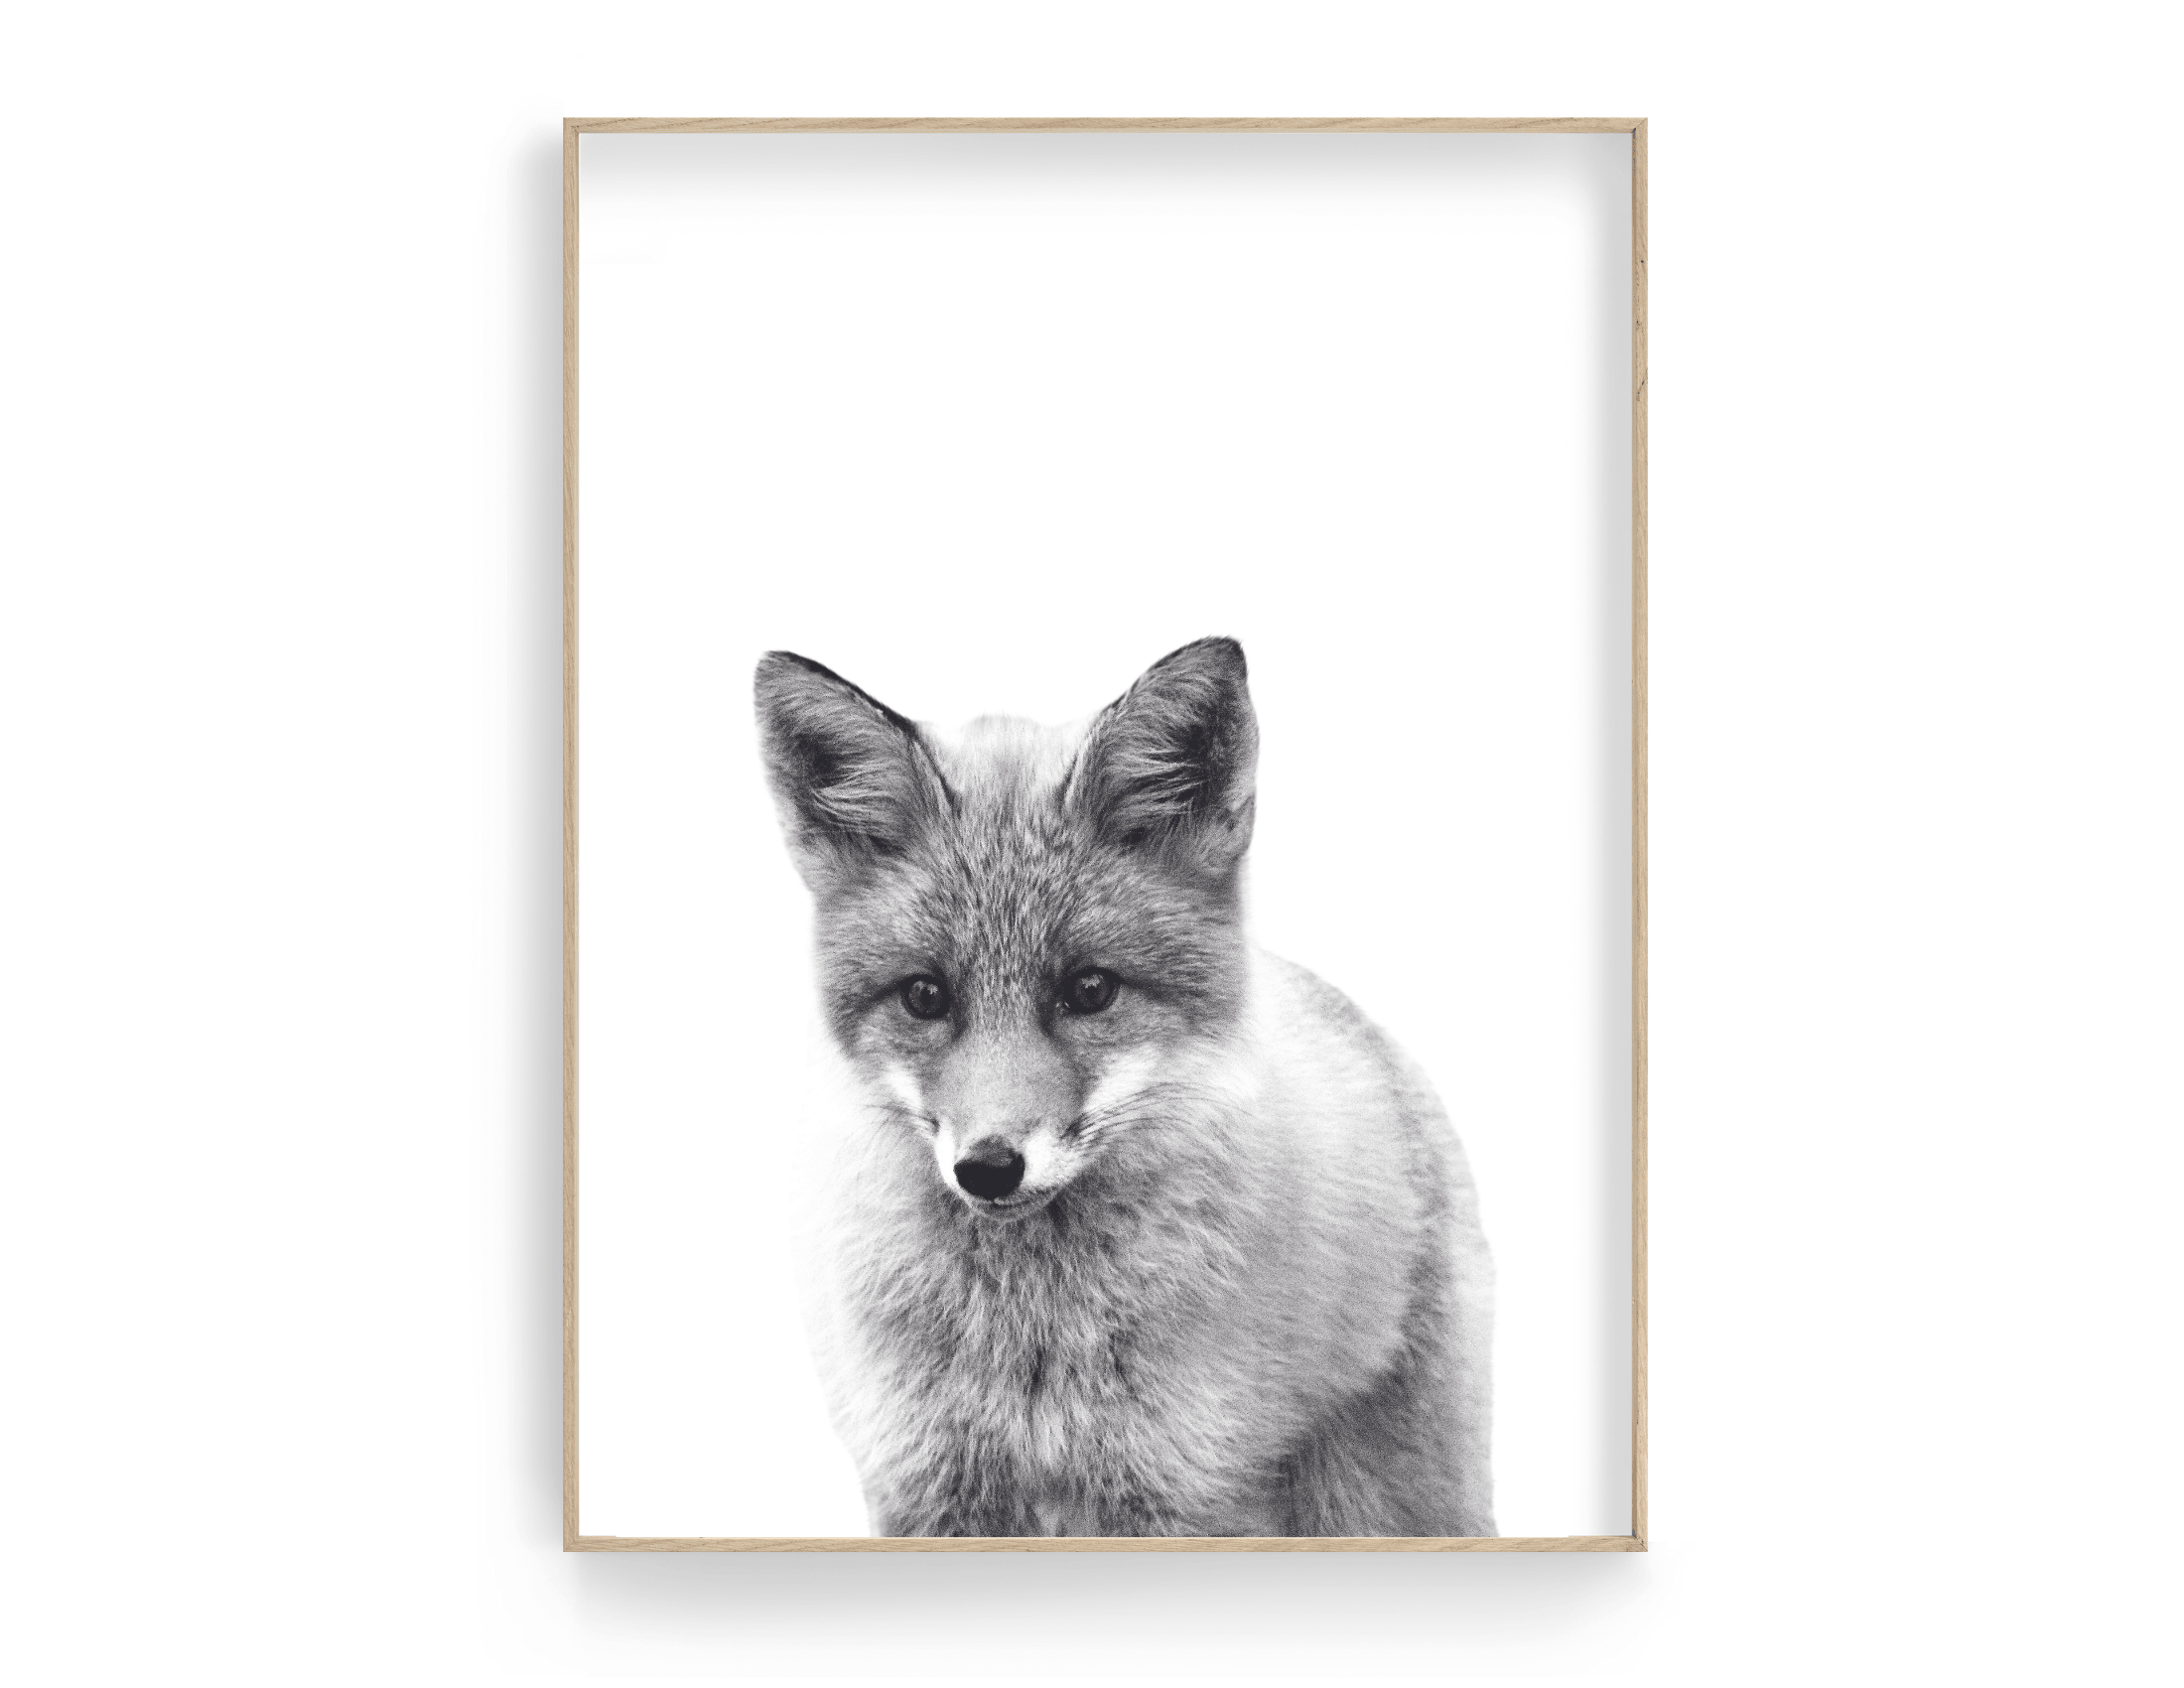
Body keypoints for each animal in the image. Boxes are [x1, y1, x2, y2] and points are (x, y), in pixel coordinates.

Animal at [754, 636, 1493, 1538]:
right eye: (926, 996)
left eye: (1089, 989)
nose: (989, 1167)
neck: (1031, 1335)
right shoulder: (929, 1489)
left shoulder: (1189, 1490)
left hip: (1389, 1499)